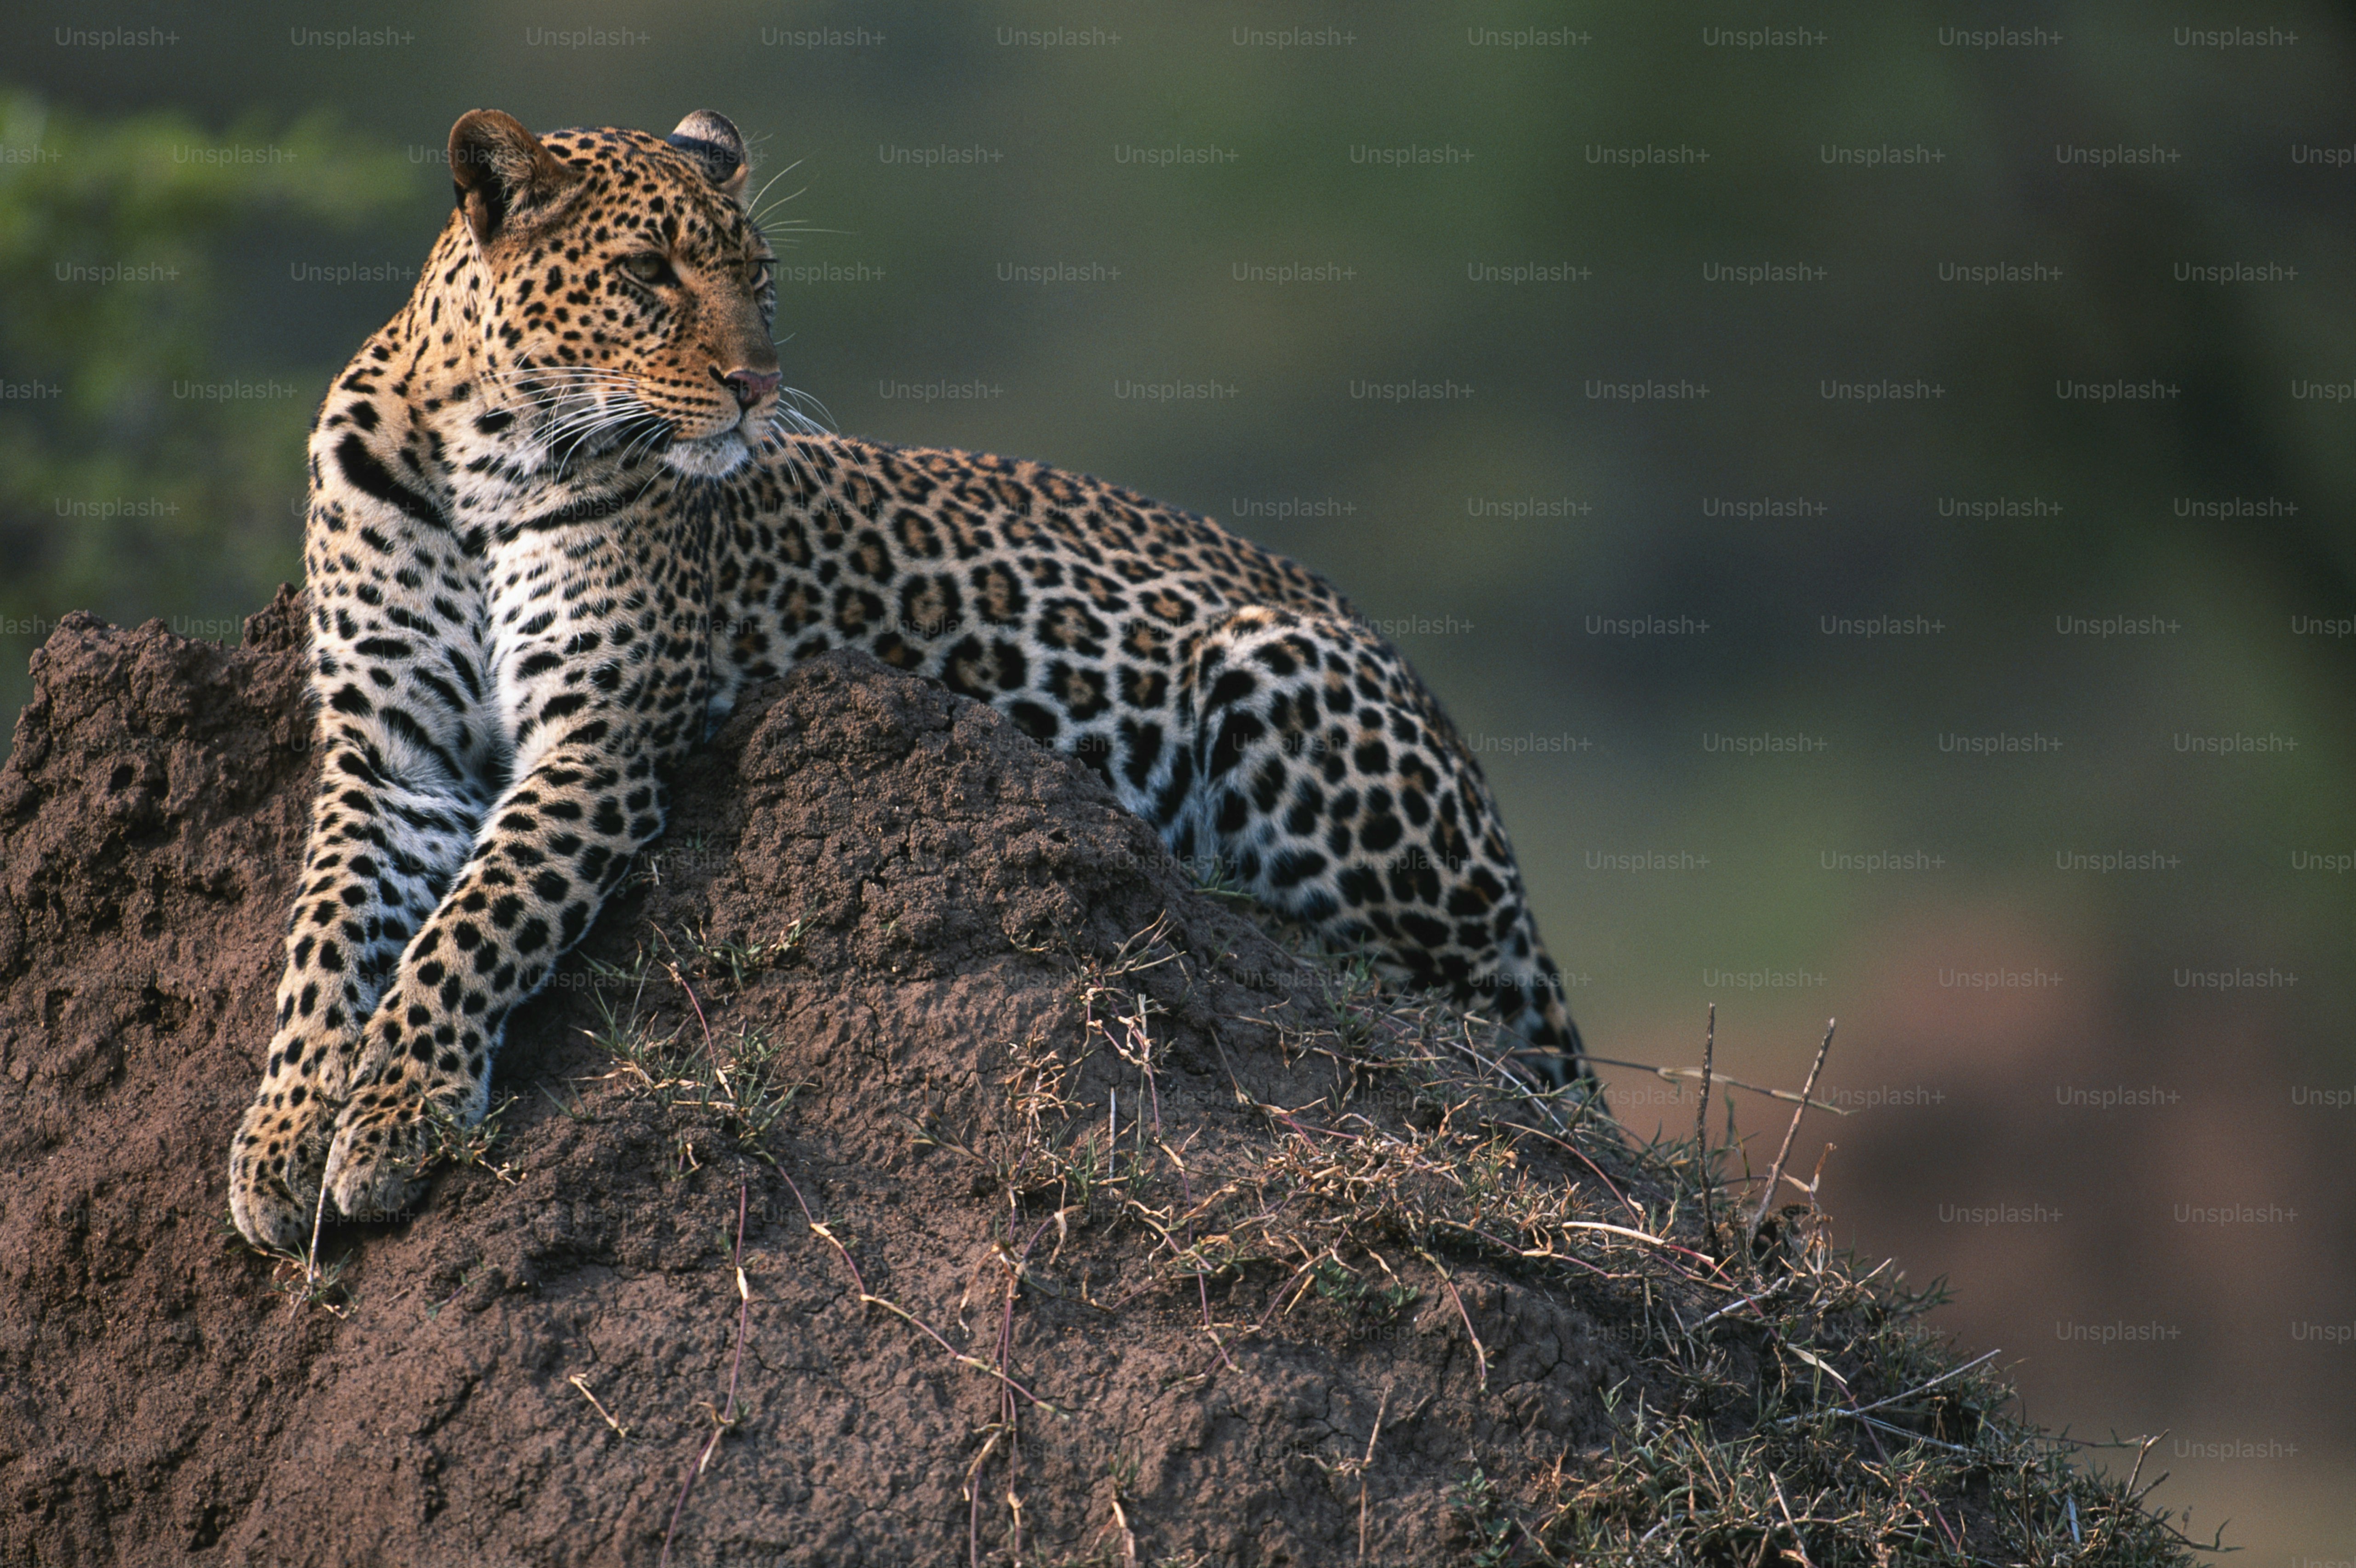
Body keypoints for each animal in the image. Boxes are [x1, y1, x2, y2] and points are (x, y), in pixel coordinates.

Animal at [226, 108, 1594, 1252]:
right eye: (648, 275)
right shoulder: (389, 754)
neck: (478, 459)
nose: (759, 386)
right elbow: (325, 938)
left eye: (760, 279)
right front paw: (283, 1138)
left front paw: (392, 1118)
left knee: (1444, 1008)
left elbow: (476, 923)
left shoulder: (597, 739)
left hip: (1284, 683)